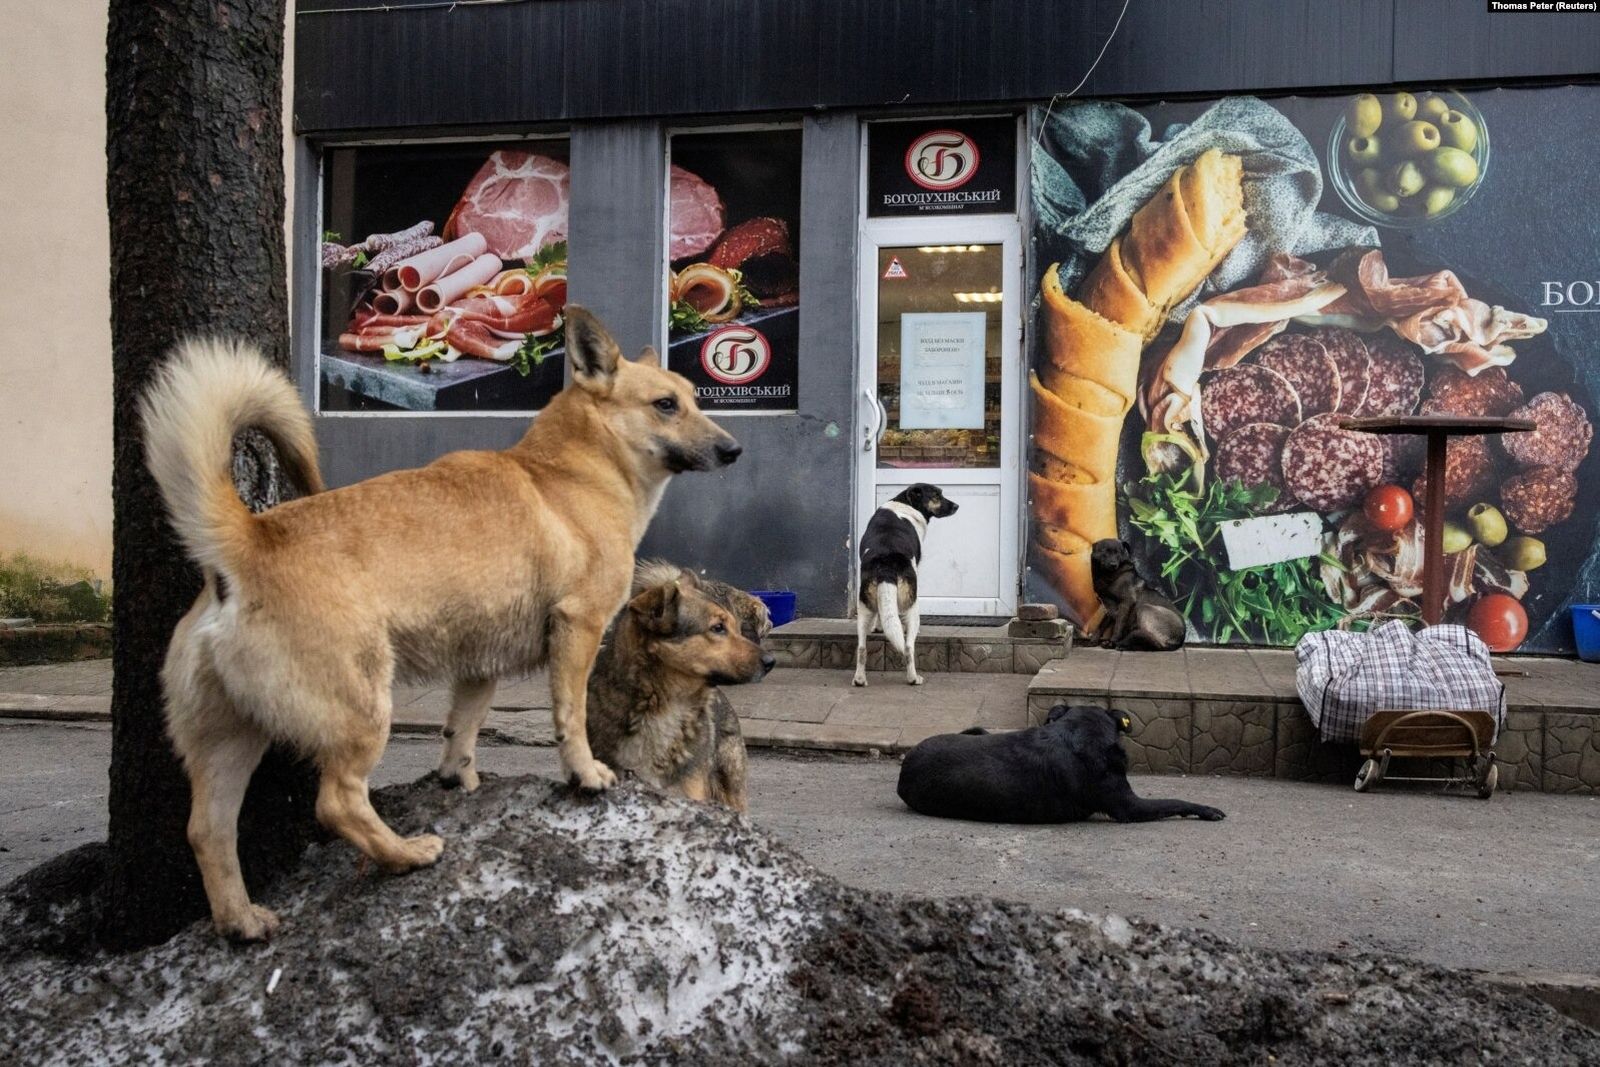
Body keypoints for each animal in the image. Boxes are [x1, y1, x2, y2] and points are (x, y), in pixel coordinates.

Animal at [144, 303, 736, 940]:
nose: (733, 450)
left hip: (231, 739)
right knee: (337, 802)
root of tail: (250, 542)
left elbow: (463, 734)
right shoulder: (577, 632)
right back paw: (405, 855)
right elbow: (570, 720)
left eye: (694, 398)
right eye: (666, 405)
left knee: (208, 830)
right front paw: (585, 774)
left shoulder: (478, 668)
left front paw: (460, 783)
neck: (568, 475)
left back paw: (241, 921)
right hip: (362, 711)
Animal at [857, 483, 953, 687]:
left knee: (861, 648)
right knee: (908, 647)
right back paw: (913, 678)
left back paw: (859, 679)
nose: (956, 506)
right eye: (937, 495)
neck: (905, 503)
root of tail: (886, 564)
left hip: (863, 608)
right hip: (913, 607)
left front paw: (878, 627)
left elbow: (883, 613)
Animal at [902, 703, 1222, 825]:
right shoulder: (1129, 807)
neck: (1080, 732)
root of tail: (904, 771)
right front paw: (1206, 809)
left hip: (976, 730)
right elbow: (1175, 801)